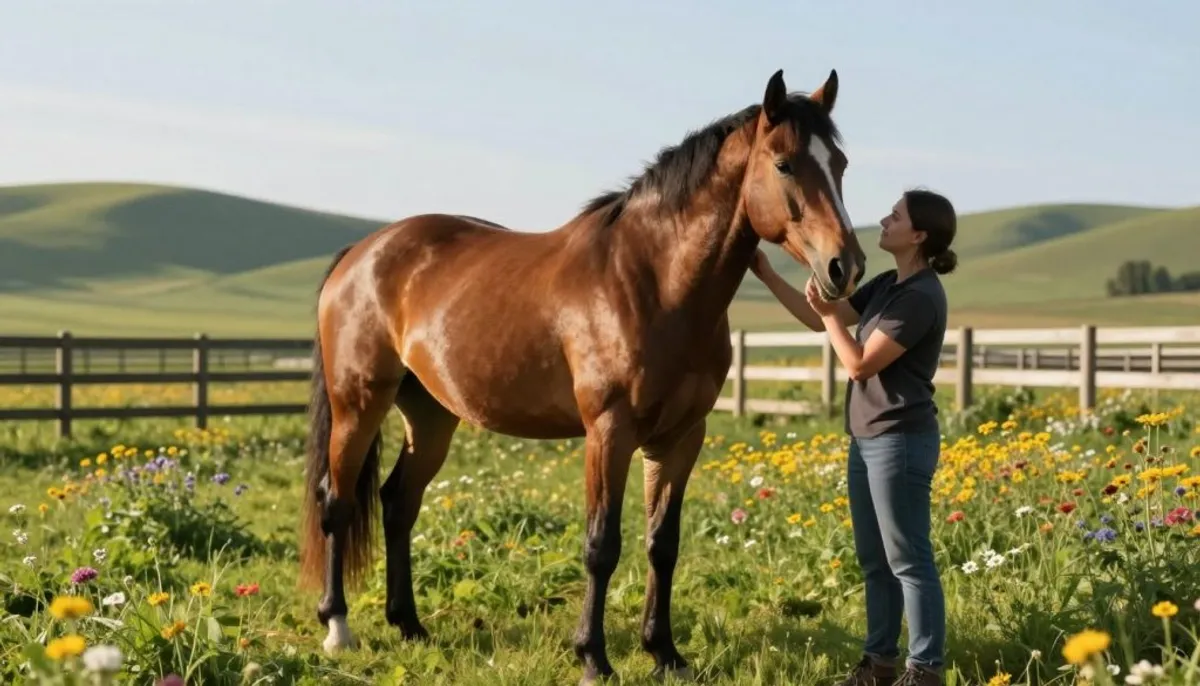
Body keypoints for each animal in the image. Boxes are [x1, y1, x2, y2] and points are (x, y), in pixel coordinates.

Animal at [298, 67, 866, 684]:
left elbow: (662, 543)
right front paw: (593, 656)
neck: (653, 282)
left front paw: (664, 652)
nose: (845, 267)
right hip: (358, 404)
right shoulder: (609, 433)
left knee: (399, 502)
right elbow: (602, 545)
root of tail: (362, 252)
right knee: (337, 501)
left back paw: (409, 624)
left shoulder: (680, 438)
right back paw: (338, 628)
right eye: (784, 163)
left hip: (430, 417)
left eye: (840, 163)